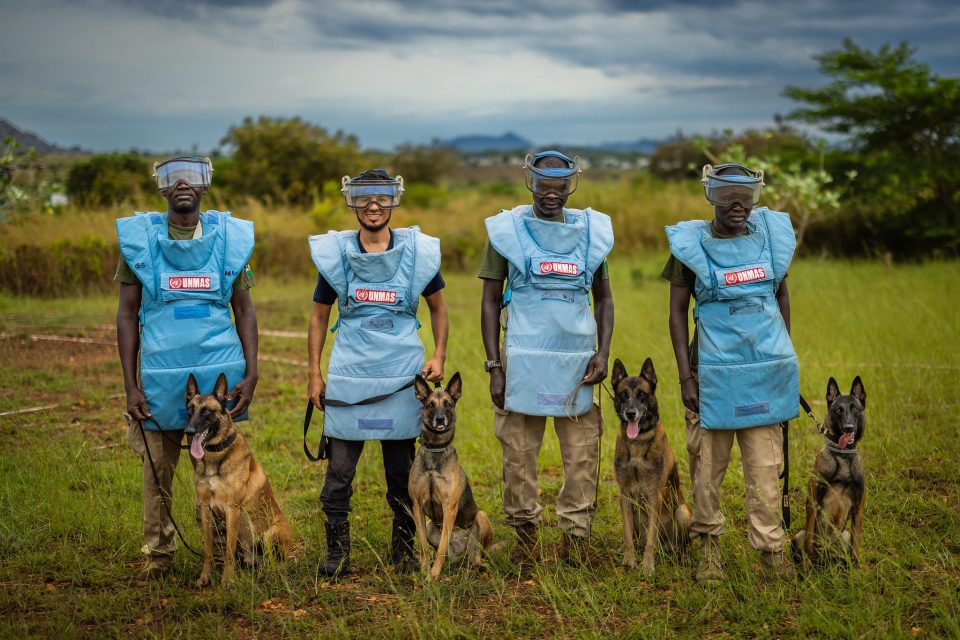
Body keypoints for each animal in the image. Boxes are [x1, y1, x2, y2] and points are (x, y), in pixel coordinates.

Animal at [185, 372, 292, 588]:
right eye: (190, 410)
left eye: (207, 412)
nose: (188, 432)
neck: (215, 458)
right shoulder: (206, 508)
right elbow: (208, 550)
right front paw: (204, 577)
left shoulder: (232, 509)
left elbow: (228, 550)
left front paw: (227, 581)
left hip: (270, 533)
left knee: (276, 561)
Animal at [406, 370, 492, 580]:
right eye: (430, 405)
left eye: (448, 404)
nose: (439, 419)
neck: (436, 449)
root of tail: (459, 552)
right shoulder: (417, 506)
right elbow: (424, 546)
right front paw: (425, 570)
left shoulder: (449, 507)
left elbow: (441, 547)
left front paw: (434, 574)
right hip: (431, 525)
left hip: (481, 517)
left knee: (477, 553)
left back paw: (477, 566)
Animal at [612, 358, 692, 572]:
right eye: (624, 395)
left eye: (642, 394)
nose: (631, 414)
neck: (638, 441)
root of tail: (667, 547)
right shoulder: (624, 496)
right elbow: (627, 536)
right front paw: (628, 562)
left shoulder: (653, 496)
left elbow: (651, 539)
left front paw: (647, 567)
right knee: (636, 537)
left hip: (682, 511)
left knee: (684, 544)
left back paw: (683, 558)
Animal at [792, 376, 868, 568]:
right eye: (838, 410)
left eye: (854, 409)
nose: (848, 428)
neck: (843, 456)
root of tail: (826, 559)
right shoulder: (813, 502)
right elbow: (808, 546)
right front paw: (806, 571)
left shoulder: (858, 507)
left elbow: (856, 546)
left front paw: (857, 571)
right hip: (798, 536)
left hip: (845, 536)